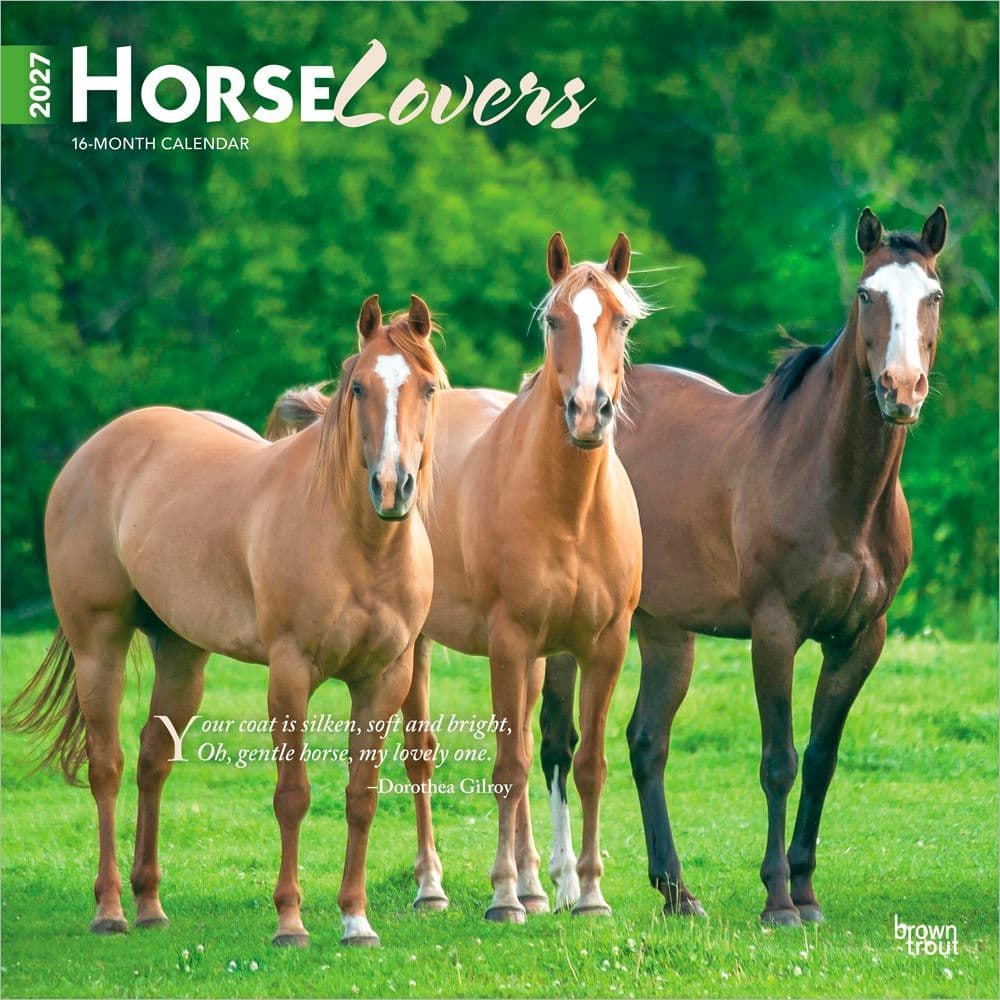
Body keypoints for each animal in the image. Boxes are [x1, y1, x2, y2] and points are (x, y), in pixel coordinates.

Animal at [8, 294, 448, 948]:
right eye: (359, 388)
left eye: (428, 387)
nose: (391, 486)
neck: (357, 544)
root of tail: (95, 450)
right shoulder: (290, 674)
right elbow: (293, 796)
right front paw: (290, 922)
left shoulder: (384, 679)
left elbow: (362, 797)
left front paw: (355, 920)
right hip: (99, 648)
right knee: (107, 767)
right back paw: (110, 910)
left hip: (182, 656)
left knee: (152, 761)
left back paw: (150, 904)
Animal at [266, 233, 646, 922]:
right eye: (554, 321)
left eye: (622, 321)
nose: (587, 413)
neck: (570, 509)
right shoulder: (509, 642)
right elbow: (507, 769)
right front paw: (501, 896)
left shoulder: (603, 646)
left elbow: (588, 765)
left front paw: (588, 894)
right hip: (418, 648)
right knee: (423, 758)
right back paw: (434, 886)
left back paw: (536, 883)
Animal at [539, 206, 949, 926]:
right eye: (866, 294)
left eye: (933, 295)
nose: (901, 389)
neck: (834, 481)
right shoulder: (774, 631)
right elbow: (779, 760)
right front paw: (779, 901)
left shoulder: (860, 640)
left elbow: (821, 759)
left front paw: (807, 890)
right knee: (560, 744)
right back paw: (564, 888)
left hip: (666, 632)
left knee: (646, 743)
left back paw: (677, 892)